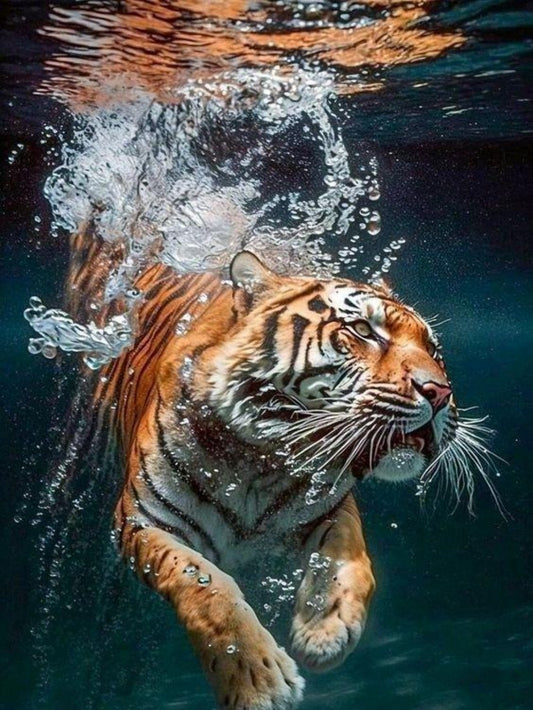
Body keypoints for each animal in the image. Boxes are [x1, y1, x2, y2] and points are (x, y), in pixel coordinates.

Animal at [80, 248, 458, 710]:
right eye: (364, 331)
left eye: (433, 350)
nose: (440, 394)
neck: (260, 459)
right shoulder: (142, 522)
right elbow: (205, 585)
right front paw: (256, 683)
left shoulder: (331, 505)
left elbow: (349, 559)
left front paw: (326, 631)